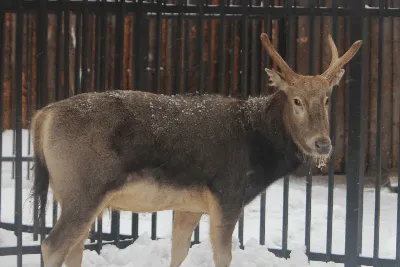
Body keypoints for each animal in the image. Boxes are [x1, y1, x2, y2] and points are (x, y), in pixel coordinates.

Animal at [31, 33, 362, 267]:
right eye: (296, 100)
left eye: (327, 99)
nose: (322, 143)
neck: (258, 148)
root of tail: (42, 117)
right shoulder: (227, 193)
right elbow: (223, 257)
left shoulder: (189, 205)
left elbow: (179, 253)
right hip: (85, 186)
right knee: (52, 245)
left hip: (73, 194)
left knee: (74, 248)